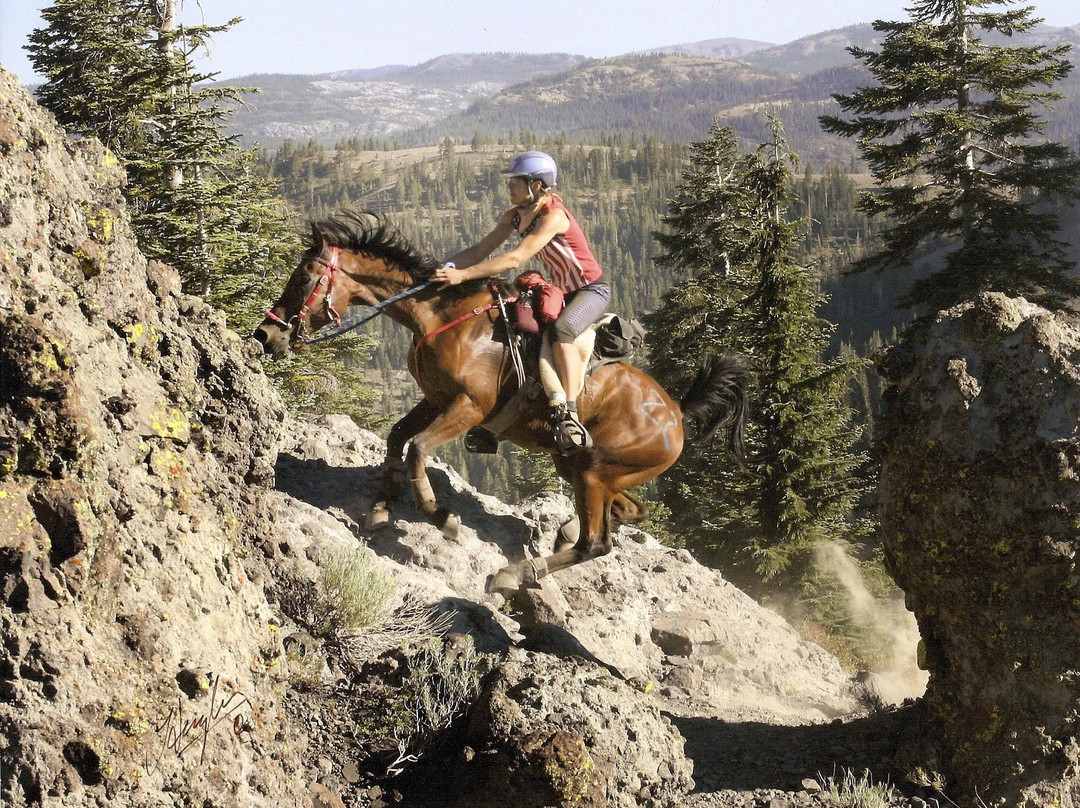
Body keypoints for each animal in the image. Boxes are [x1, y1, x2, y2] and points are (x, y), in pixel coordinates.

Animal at [250, 211, 751, 596]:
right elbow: (396, 438)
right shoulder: (435, 399)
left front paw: (439, 514)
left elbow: (418, 449)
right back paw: (563, 532)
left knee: (597, 543)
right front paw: (380, 507)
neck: (441, 318)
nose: (266, 334)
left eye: (304, 278)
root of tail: (675, 413)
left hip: (594, 469)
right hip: (584, 465)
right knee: (628, 512)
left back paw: (515, 573)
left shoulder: (469, 406)